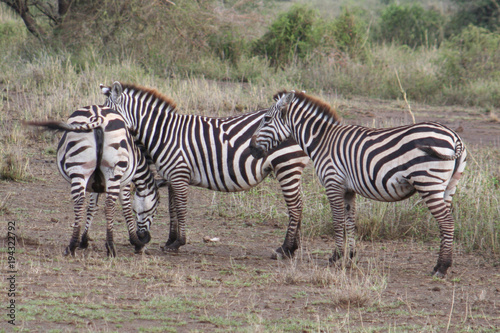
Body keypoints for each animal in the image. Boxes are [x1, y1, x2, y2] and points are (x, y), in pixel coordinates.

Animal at [25, 105, 162, 255]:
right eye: (156, 207)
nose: (145, 238)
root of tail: (97, 116)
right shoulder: (124, 182)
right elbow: (125, 208)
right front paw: (136, 243)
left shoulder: (95, 182)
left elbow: (92, 207)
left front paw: (84, 240)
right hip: (113, 172)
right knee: (109, 205)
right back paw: (110, 247)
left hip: (80, 169)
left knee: (80, 202)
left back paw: (73, 245)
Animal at [98, 80, 310, 256]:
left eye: (110, 118)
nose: (142, 239)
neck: (163, 133)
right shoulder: (171, 176)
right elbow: (172, 208)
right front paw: (170, 241)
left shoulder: (179, 174)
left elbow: (181, 208)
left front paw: (179, 243)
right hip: (292, 168)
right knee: (299, 203)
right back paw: (294, 247)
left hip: (286, 164)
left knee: (295, 205)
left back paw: (285, 248)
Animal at [250, 89, 468, 276]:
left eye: (266, 119)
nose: (251, 148)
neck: (322, 141)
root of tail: (454, 136)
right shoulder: (348, 189)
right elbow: (350, 221)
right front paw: (350, 257)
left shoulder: (333, 183)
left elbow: (338, 221)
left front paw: (335, 257)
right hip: (448, 187)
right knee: (445, 224)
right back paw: (440, 265)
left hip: (428, 183)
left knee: (447, 222)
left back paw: (442, 268)